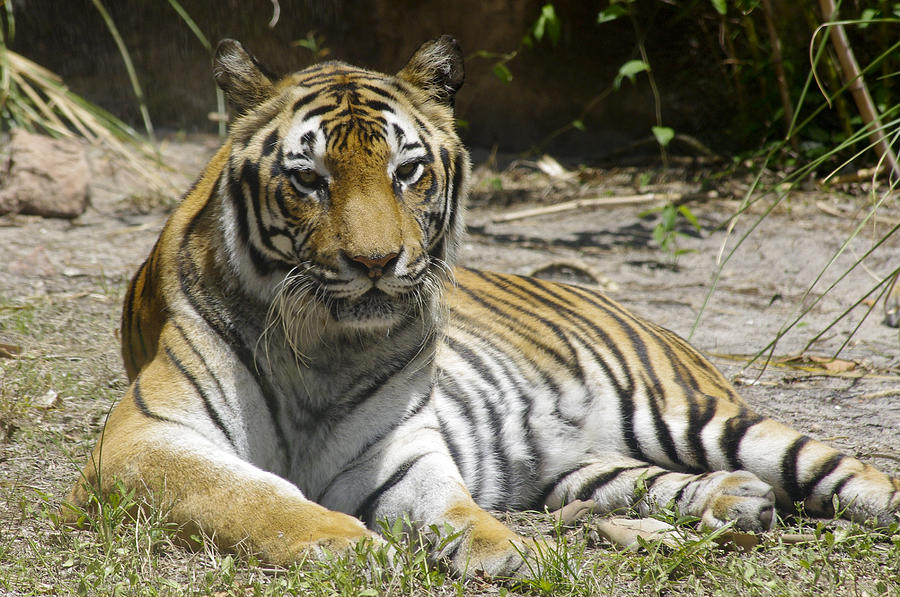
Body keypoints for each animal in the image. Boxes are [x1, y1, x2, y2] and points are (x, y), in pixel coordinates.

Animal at [68, 35, 900, 576]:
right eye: (308, 179)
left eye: (406, 172)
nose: (376, 264)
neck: (324, 346)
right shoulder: (144, 438)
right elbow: (244, 493)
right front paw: (345, 544)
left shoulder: (394, 451)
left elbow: (458, 507)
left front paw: (513, 551)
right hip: (585, 465)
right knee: (646, 480)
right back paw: (736, 502)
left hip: (695, 413)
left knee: (843, 470)